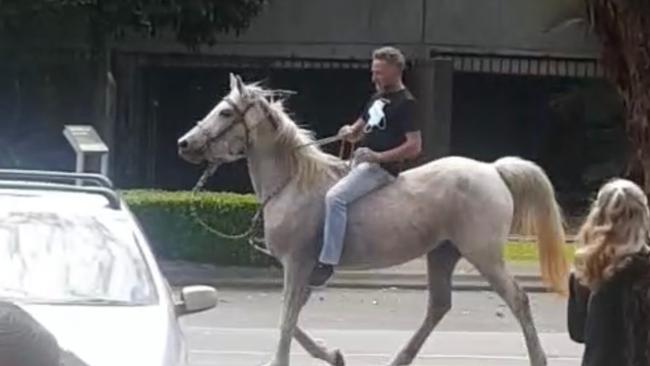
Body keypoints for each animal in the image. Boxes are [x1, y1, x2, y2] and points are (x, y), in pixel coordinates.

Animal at [177, 74, 568, 366]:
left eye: (225, 112)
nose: (185, 143)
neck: (293, 182)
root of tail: (493, 170)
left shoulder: (297, 264)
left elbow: (287, 320)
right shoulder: (303, 271)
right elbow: (291, 318)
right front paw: (332, 354)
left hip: (484, 255)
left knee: (518, 300)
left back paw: (538, 358)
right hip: (443, 253)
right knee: (439, 306)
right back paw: (399, 358)